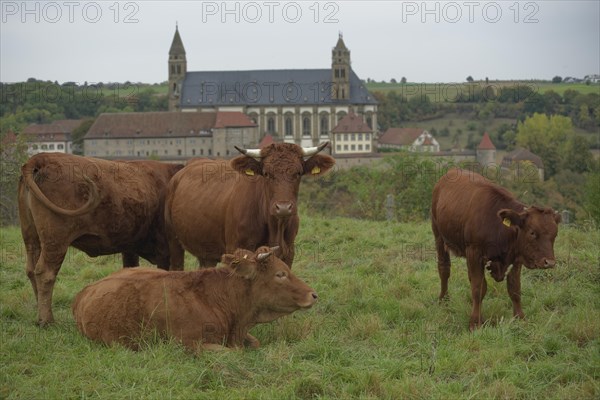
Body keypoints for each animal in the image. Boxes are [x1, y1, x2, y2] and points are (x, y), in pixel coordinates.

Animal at [18, 152, 183, 324]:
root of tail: (41, 158)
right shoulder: (165, 249)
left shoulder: (130, 248)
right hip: (56, 240)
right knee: (45, 273)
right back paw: (47, 320)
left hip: (31, 237)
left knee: (31, 270)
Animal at [164, 141, 336, 268]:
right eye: (266, 173)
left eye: (298, 173)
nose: (283, 208)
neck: (274, 227)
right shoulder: (235, 252)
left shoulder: (288, 253)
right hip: (173, 242)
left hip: (206, 251)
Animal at [432, 167, 564, 330]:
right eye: (532, 232)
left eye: (555, 234)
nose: (549, 262)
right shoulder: (474, 252)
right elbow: (478, 288)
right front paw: (475, 322)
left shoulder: (516, 257)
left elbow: (514, 288)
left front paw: (520, 318)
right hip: (438, 235)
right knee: (444, 269)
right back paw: (443, 299)